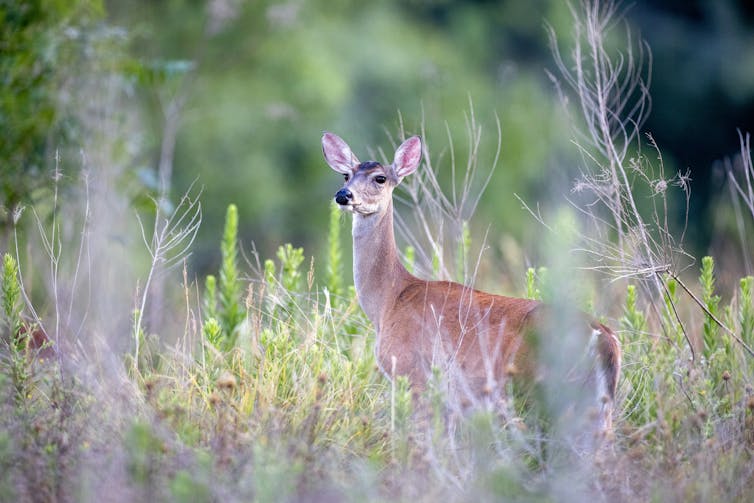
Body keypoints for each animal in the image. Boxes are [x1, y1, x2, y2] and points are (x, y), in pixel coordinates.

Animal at [322, 132, 621, 436]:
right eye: (346, 175)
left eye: (380, 178)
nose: (343, 195)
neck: (389, 300)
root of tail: (605, 339)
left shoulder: (413, 372)